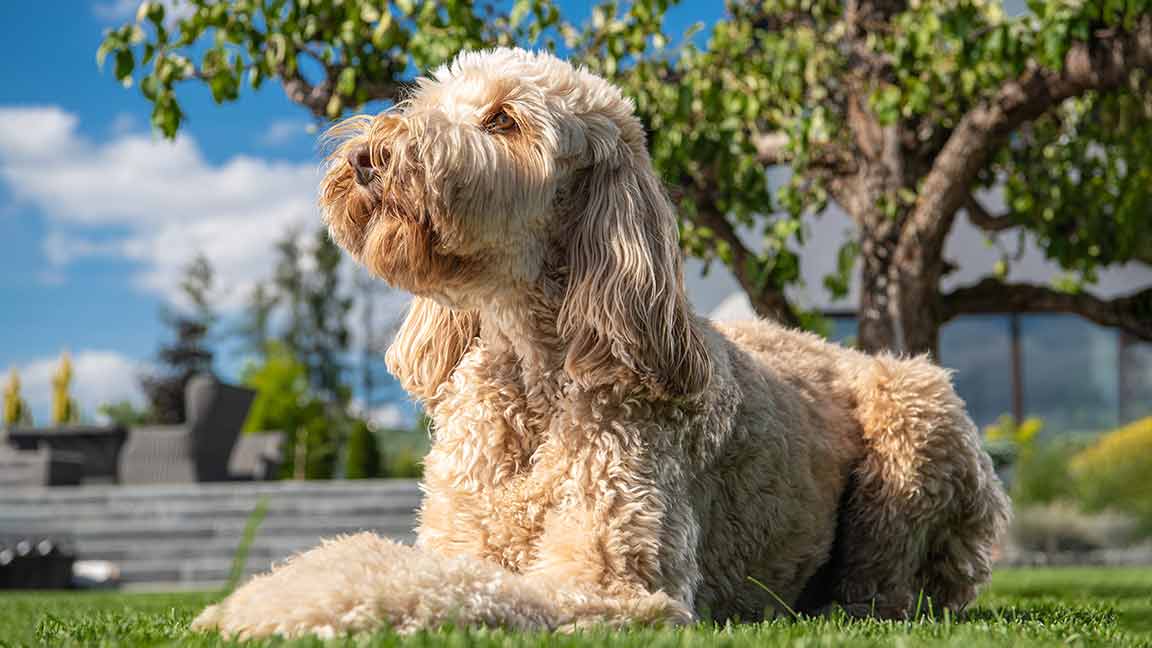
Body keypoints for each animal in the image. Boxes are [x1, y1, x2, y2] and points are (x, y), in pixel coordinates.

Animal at [191, 47, 1009, 636]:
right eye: (425, 103)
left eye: (504, 121)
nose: (367, 157)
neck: (532, 372)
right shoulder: (464, 536)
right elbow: (433, 566)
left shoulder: (610, 581)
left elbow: (427, 584)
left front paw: (273, 605)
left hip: (918, 406)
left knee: (893, 584)